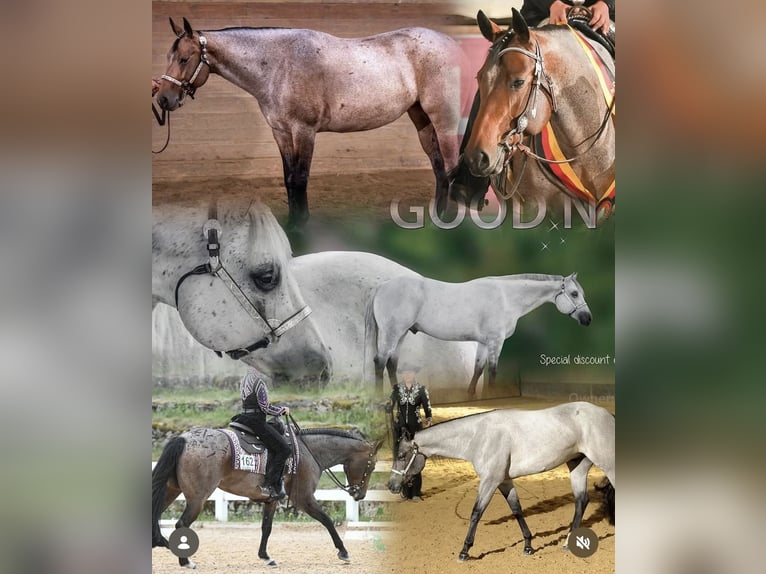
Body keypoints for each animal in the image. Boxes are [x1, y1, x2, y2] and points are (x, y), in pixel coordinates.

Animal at [152, 426, 382, 567]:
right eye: (372, 466)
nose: (359, 494)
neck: (307, 452)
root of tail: (183, 438)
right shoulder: (304, 498)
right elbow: (327, 520)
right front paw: (343, 551)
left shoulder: (271, 499)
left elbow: (266, 527)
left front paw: (266, 557)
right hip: (197, 499)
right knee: (181, 524)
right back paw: (185, 561)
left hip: (171, 490)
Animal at [156, 17, 465, 230]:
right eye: (169, 57)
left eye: (184, 58)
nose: (163, 99)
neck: (279, 65)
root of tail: (450, 43)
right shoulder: (280, 132)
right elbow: (288, 178)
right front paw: (294, 221)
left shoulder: (304, 131)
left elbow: (300, 178)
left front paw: (299, 224)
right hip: (422, 120)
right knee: (439, 167)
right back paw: (437, 216)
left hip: (443, 121)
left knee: (450, 166)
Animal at [368, 273, 591, 393]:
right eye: (574, 293)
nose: (587, 318)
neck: (507, 298)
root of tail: (382, 287)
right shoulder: (495, 341)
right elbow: (492, 372)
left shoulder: (484, 343)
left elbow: (477, 371)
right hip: (392, 333)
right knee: (380, 362)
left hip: (401, 334)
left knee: (391, 363)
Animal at [388, 402, 615, 561]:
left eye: (401, 455)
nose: (391, 486)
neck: (479, 435)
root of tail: (608, 416)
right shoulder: (504, 481)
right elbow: (517, 510)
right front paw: (528, 546)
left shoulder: (490, 480)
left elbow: (476, 513)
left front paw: (464, 551)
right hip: (577, 467)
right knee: (581, 502)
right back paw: (568, 543)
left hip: (608, 465)